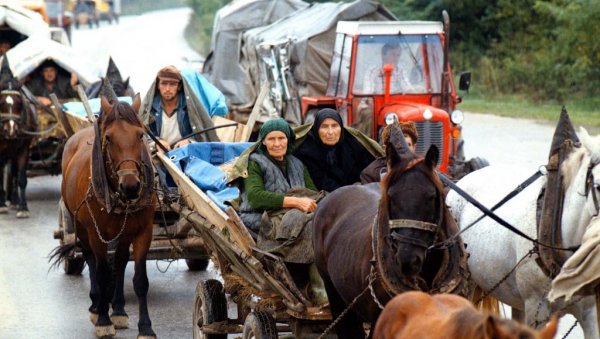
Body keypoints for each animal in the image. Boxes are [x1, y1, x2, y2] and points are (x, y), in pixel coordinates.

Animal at [50, 94, 156, 338]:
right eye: (109, 137)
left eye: (140, 134)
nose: (131, 186)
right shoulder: (96, 233)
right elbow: (102, 272)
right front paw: (103, 320)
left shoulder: (143, 231)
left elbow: (139, 280)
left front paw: (145, 327)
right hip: (79, 225)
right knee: (90, 258)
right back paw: (97, 305)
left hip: (123, 232)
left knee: (119, 261)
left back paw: (118, 309)